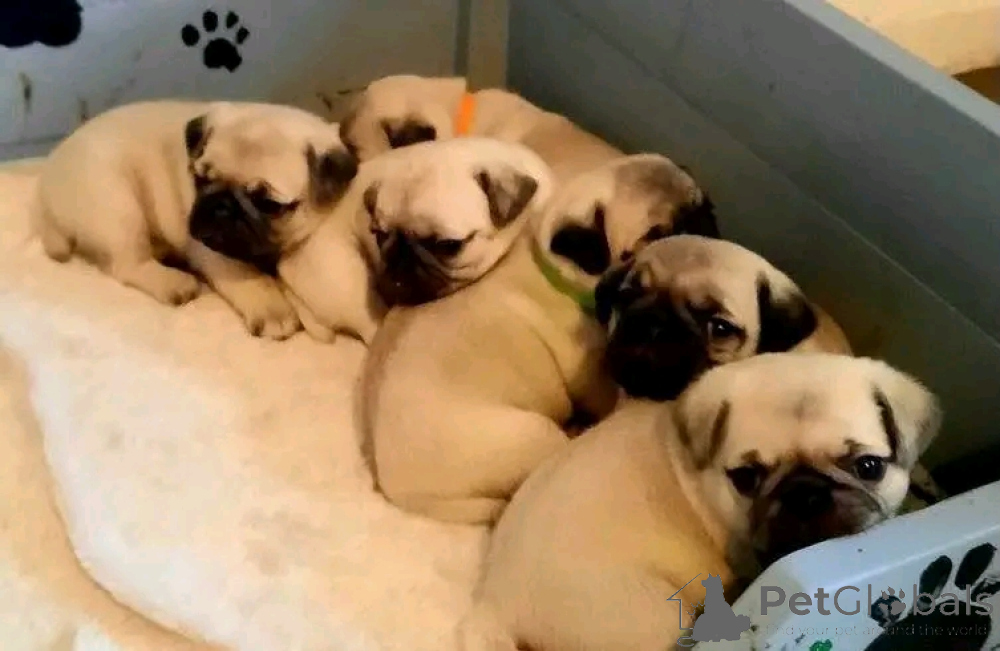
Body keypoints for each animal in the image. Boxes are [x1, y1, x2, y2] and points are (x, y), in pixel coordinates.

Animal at [34, 100, 357, 339]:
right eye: (200, 179)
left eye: (268, 204)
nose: (221, 207)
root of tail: (45, 198)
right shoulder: (210, 248)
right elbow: (247, 276)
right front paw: (272, 309)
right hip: (117, 204)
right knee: (129, 264)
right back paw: (172, 282)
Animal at [360, 153, 719, 526]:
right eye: (657, 234)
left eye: (703, 202)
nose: (703, 220)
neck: (552, 263)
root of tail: (406, 495)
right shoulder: (595, 377)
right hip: (538, 434)